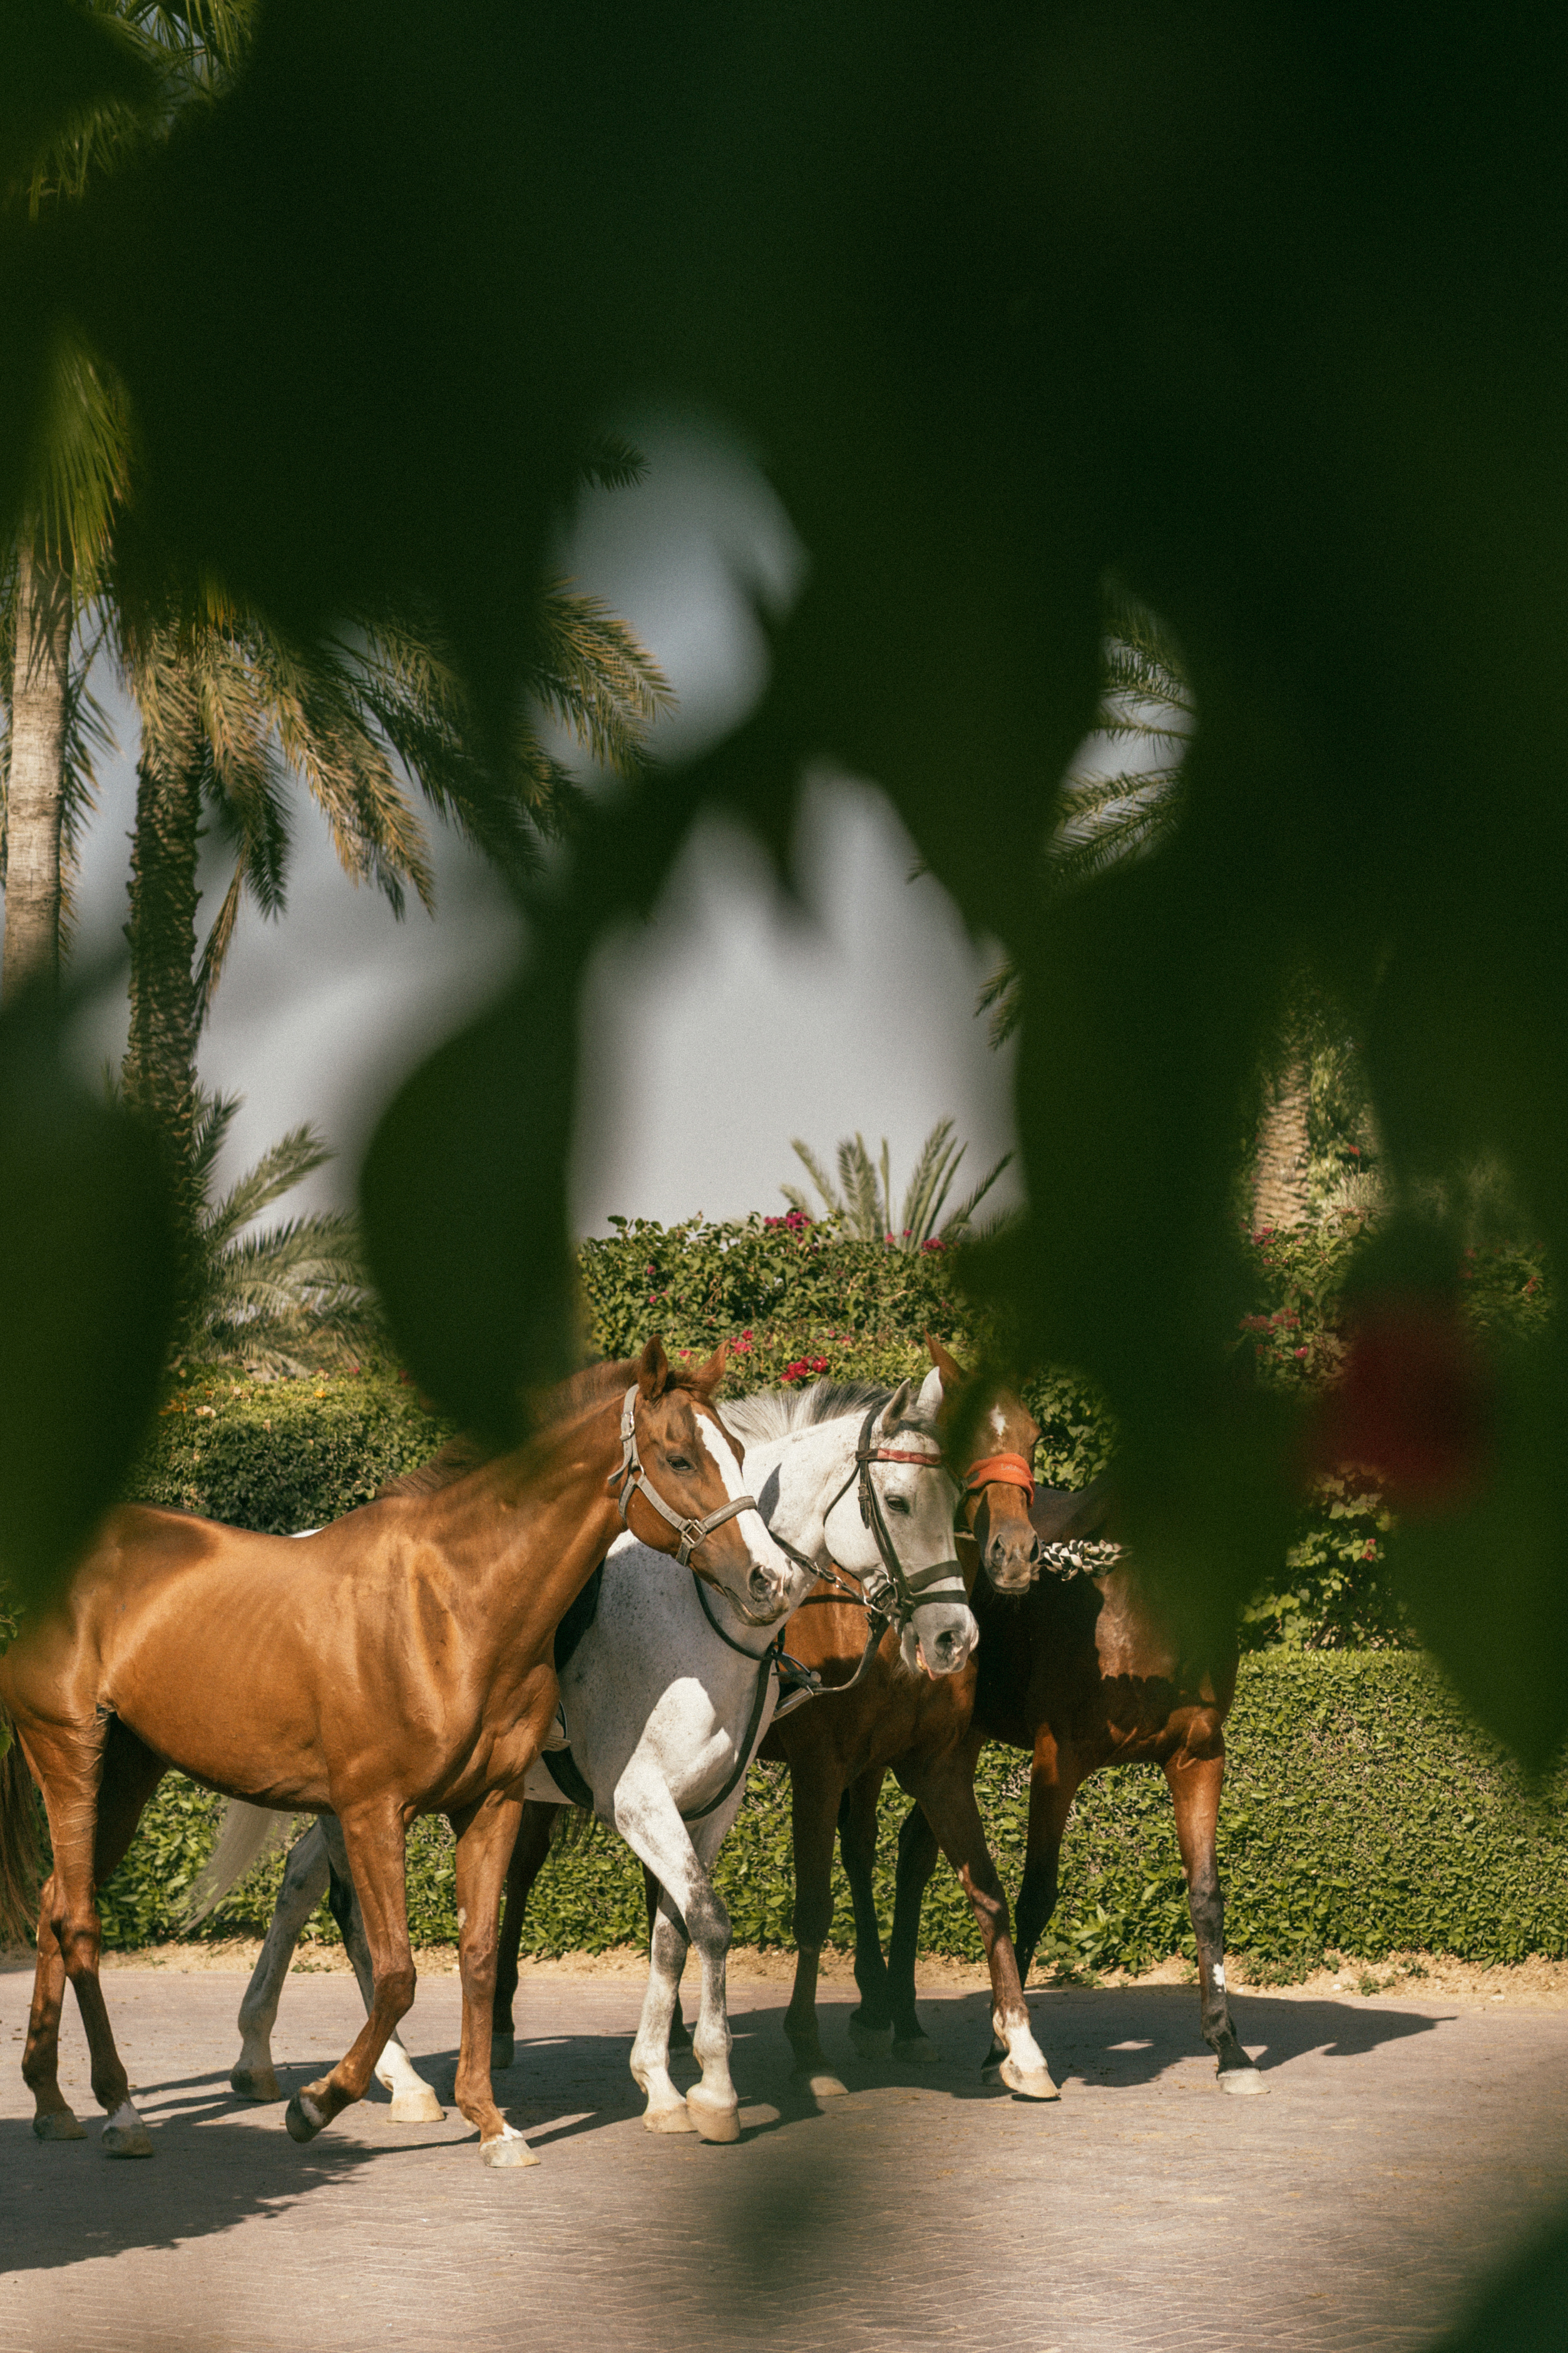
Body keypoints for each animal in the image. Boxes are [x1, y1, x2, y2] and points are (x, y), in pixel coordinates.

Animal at [0, 1337, 794, 2168]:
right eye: (679, 1457)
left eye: (740, 1452)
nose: (771, 1580)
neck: (449, 1607)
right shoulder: (373, 1810)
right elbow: (397, 1972)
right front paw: (317, 2104)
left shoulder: (493, 1803)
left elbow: (476, 1955)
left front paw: (490, 2121)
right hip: (72, 1759)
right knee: (79, 1920)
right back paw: (121, 2108)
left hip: (126, 1776)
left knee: (55, 1905)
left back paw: (53, 2100)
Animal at [879, 1476, 1266, 2093]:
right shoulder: (1056, 1765)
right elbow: (1034, 1896)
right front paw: (1003, 2049)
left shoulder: (1198, 1757)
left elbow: (1206, 1897)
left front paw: (1228, 2048)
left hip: (957, 1743)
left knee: (916, 1847)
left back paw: (905, 2022)